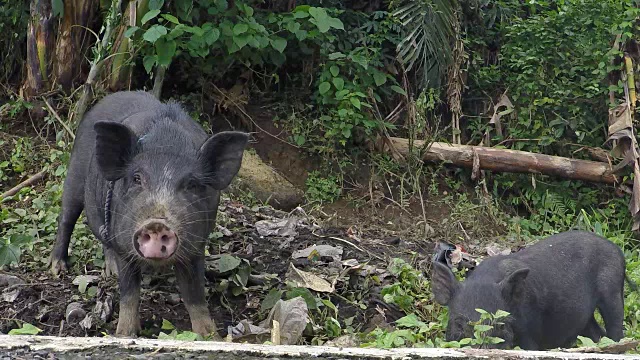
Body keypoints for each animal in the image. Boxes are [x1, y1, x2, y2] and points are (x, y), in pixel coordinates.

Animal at [48, 91, 249, 338]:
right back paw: (58, 269)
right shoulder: (126, 248)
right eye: (136, 178)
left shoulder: (196, 246)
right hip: (74, 174)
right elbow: (129, 294)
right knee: (66, 217)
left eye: (192, 184)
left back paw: (109, 272)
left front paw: (211, 337)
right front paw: (124, 334)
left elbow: (194, 295)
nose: (156, 224)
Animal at [430, 229, 632, 350]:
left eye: (502, 324)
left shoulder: (529, 334)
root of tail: (618, 251)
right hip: (584, 315)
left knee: (615, 328)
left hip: (612, 291)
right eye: (459, 324)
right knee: (597, 333)